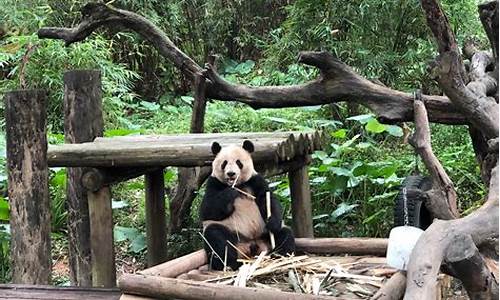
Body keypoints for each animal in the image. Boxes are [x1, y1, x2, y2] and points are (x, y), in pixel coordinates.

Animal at [199, 139, 294, 270]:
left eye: (238, 162)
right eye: (224, 163)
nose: (231, 174)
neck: (239, 185)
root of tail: (251, 245)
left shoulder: (255, 180)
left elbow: (268, 198)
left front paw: (271, 221)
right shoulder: (213, 183)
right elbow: (207, 210)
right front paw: (230, 193)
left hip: (264, 234)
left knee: (284, 234)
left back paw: (281, 255)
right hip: (233, 233)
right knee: (216, 237)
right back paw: (230, 264)